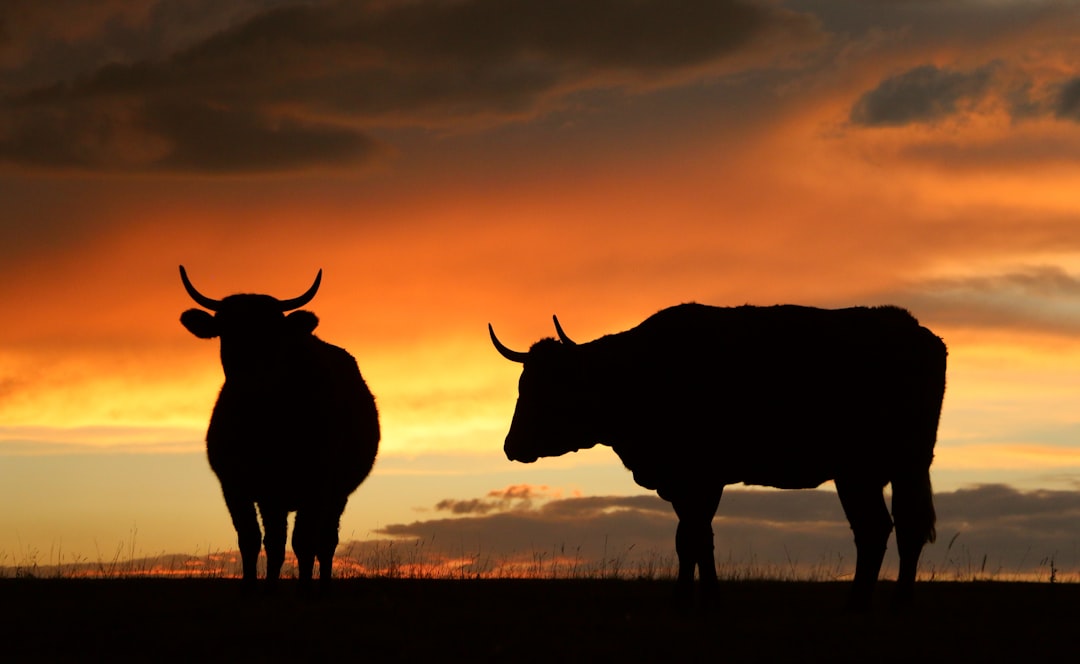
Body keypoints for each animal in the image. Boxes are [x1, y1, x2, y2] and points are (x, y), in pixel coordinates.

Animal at [179, 266, 379, 591]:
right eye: (226, 329)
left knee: (326, 541)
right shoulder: (237, 487)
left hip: (336, 494)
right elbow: (253, 540)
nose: (251, 374)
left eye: (273, 331)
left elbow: (304, 543)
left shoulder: (316, 485)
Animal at [489, 303, 946, 610]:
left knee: (884, 528)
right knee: (894, 528)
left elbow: (693, 538)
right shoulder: (686, 484)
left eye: (548, 388)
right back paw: (886, 603)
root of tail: (912, 327)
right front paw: (696, 597)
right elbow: (693, 539)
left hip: (872, 469)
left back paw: (867, 603)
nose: (512, 447)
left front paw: (695, 598)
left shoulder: (701, 477)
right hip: (883, 470)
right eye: (523, 384)